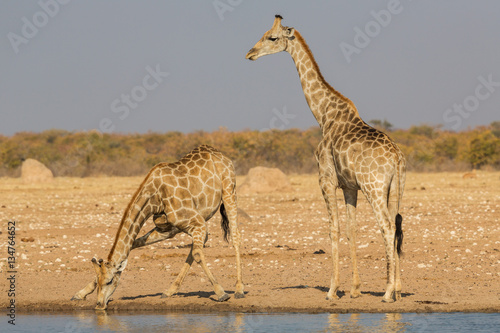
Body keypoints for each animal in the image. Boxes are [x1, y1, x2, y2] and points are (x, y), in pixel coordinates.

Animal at [73, 145, 245, 308]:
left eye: (109, 281)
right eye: (98, 280)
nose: (99, 305)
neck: (155, 197)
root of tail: (221, 155)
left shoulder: (196, 222)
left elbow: (197, 254)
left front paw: (221, 293)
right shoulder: (168, 229)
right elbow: (133, 244)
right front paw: (80, 293)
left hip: (229, 192)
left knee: (235, 236)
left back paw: (239, 289)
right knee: (198, 245)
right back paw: (169, 291)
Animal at [246, 14, 406, 300]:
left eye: (271, 38)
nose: (250, 53)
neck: (323, 115)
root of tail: (397, 157)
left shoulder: (326, 180)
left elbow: (334, 230)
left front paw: (332, 289)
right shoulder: (350, 186)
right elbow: (352, 230)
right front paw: (354, 289)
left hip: (374, 188)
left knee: (387, 227)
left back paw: (387, 292)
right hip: (394, 188)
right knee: (396, 226)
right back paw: (397, 289)